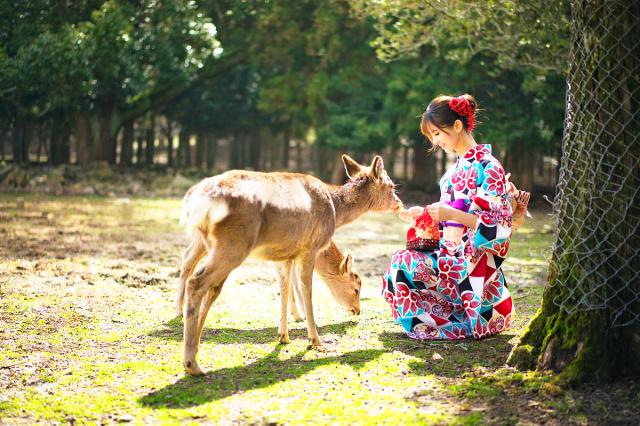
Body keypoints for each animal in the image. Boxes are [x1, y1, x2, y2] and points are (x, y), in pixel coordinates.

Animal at [178, 155, 402, 374]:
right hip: (232, 244)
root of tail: (195, 199)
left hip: (213, 243)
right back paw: (192, 363)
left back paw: (195, 348)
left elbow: (284, 288)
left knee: (207, 284)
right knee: (197, 282)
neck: (335, 210)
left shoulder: (284, 255)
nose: (399, 203)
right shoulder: (309, 248)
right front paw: (316, 340)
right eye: (391, 186)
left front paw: (284, 336)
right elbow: (306, 289)